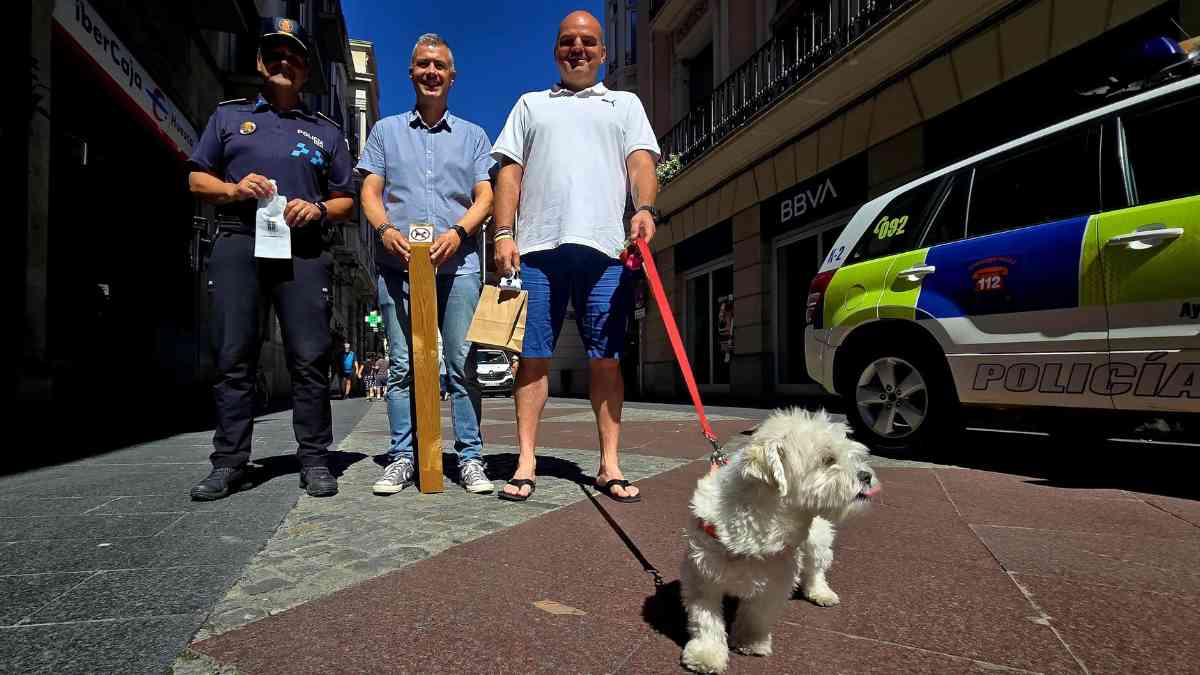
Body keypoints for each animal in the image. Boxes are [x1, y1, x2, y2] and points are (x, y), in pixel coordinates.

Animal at [681, 408, 878, 667]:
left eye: (853, 455)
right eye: (828, 459)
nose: (866, 475)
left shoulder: (776, 579)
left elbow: (757, 614)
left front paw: (751, 641)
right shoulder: (702, 574)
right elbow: (706, 620)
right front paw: (707, 654)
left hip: (818, 541)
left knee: (815, 570)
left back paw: (821, 592)